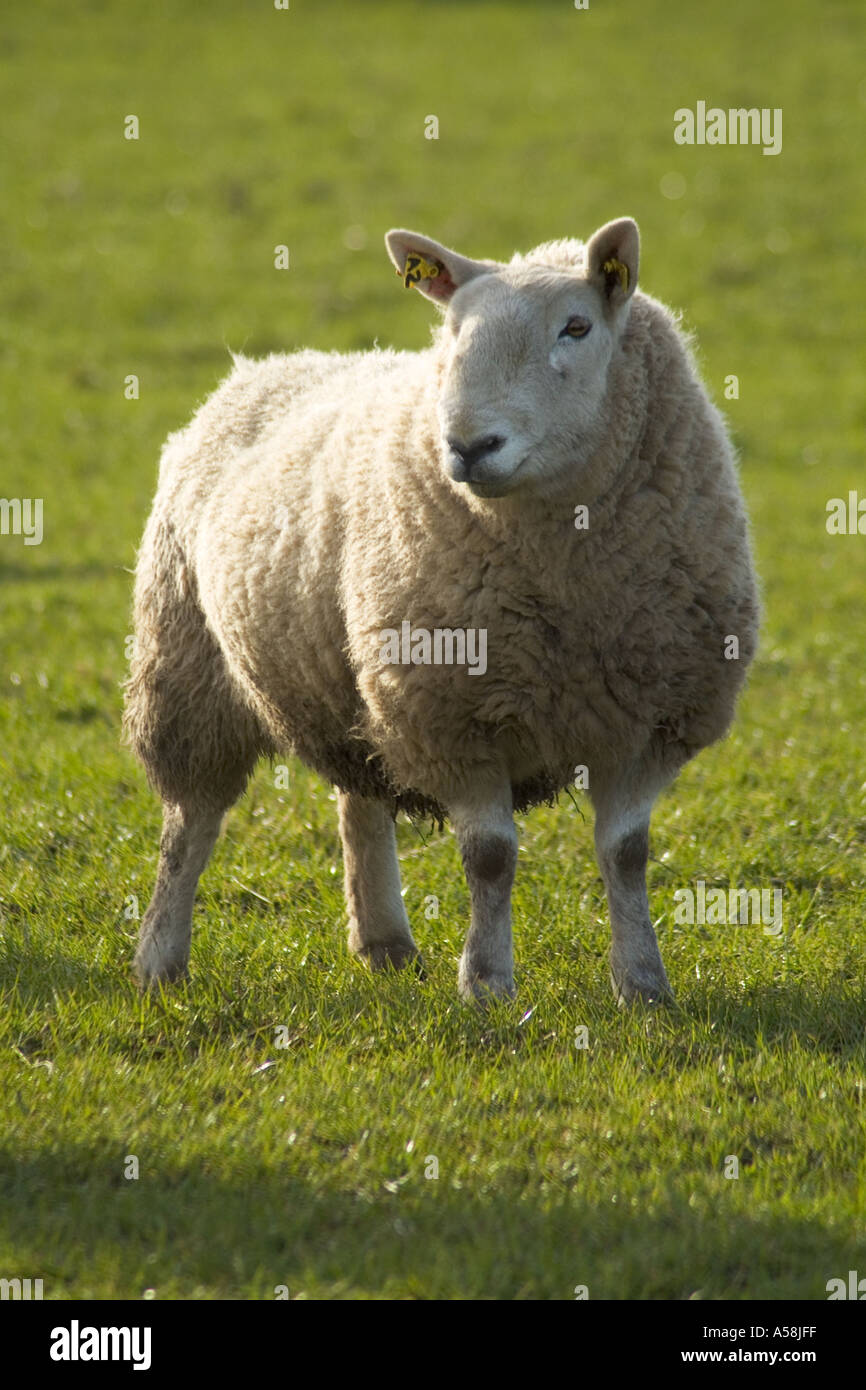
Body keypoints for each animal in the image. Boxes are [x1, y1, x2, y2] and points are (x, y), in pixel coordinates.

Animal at [122, 219, 756, 1011]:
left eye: (577, 327)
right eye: (452, 331)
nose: (469, 445)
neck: (567, 577)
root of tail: (262, 368)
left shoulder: (650, 720)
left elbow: (628, 855)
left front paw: (643, 984)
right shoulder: (454, 714)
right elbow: (490, 857)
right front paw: (487, 985)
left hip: (347, 679)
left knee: (359, 797)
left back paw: (383, 942)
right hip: (188, 663)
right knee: (189, 825)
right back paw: (159, 958)